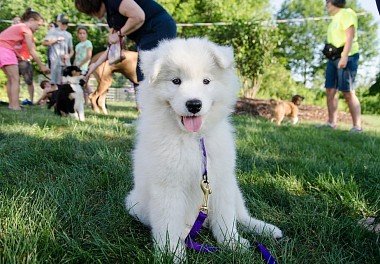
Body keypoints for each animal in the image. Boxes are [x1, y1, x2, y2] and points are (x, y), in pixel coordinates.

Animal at [124, 37, 282, 262]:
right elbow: (168, 225)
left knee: (241, 216)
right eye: (176, 81)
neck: (193, 138)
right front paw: (171, 254)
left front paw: (231, 244)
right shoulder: (168, 187)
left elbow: (226, 218)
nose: (194, 104)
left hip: (235, 189)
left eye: (206, 81)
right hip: (135, 204)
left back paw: (266, 229)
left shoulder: (221, 181)